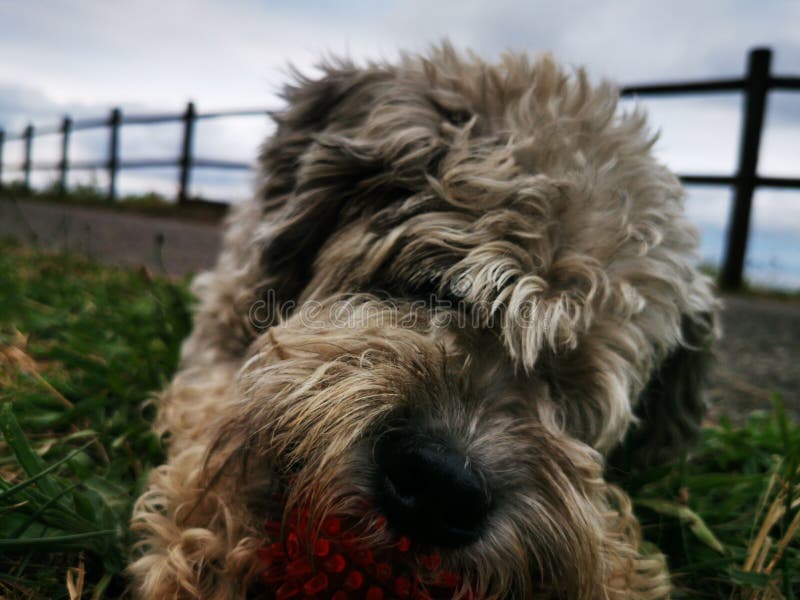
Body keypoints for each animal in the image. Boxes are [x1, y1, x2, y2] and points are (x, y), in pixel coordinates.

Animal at [130, 45, 720, 600]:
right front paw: (212, 538)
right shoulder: (225, 318)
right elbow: (222, 409)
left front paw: (619, 576)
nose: (442, 487)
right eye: (435, 286)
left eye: (569, 384)